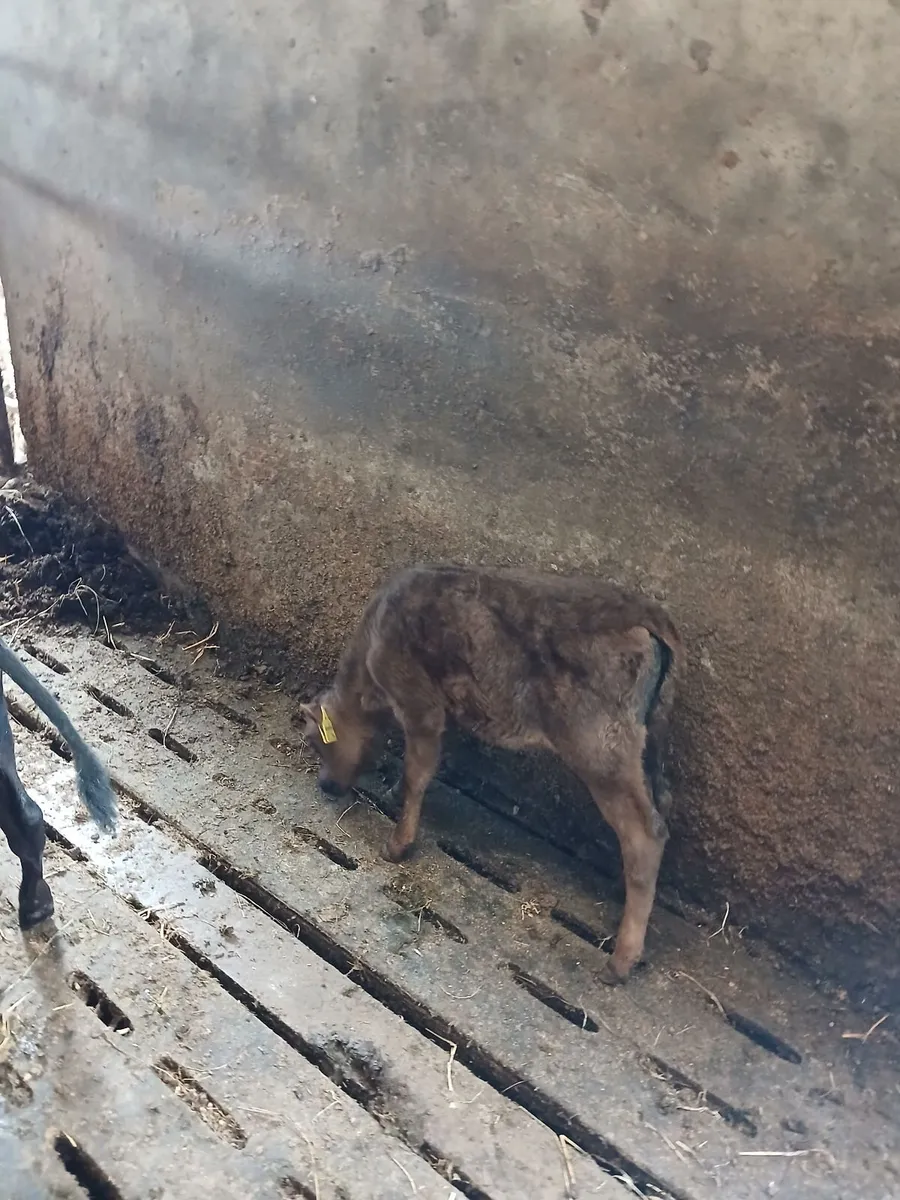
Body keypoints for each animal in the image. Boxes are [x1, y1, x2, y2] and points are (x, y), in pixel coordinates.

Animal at [298, 564, 681, 985]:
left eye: (318, 742)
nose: (325, 785)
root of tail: (643, 611)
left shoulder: (420, 703)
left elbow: (418, 772)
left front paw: (398, 844)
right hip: (647, 743)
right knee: (658, 810)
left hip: (600, 748)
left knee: (645, 833)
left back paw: (620, 961)